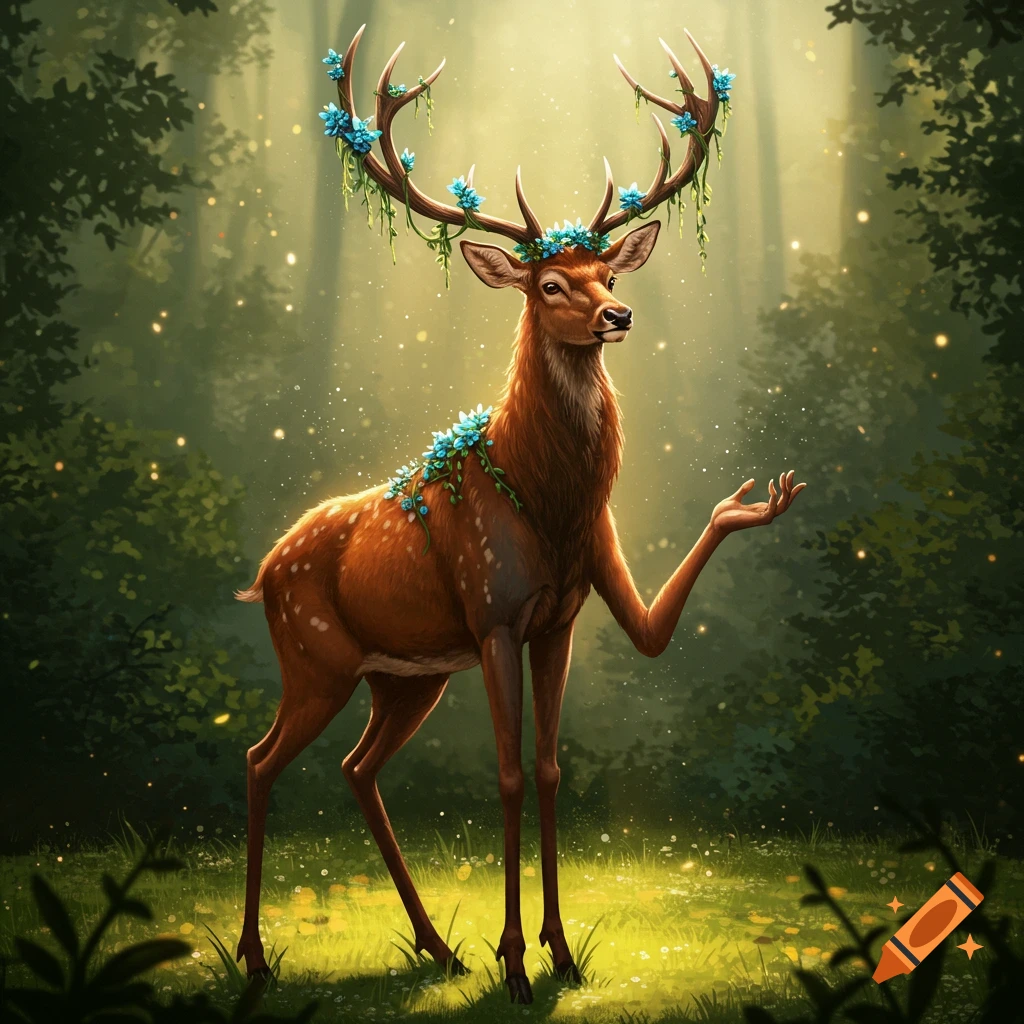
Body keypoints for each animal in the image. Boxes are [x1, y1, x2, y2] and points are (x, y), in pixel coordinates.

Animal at [234, 24, 805, 1005]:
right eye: (548, 286)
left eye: (605, 269)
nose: (618, 313)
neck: (550, 504)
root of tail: (264, 572)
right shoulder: (494, 611)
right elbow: (502, 773)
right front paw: (514, 961)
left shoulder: (562, 617)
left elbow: (548, 766)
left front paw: (560, 951)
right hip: (313, 655)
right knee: (261, 759)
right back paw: (258, 957)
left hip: (405, 676)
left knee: (356, 767)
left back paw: (435, 947)